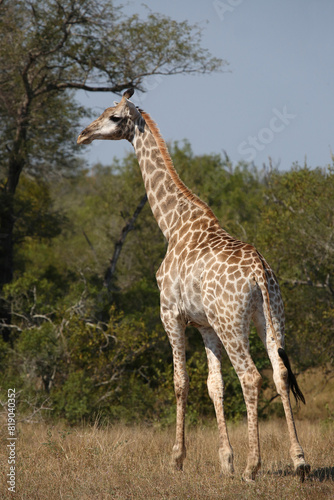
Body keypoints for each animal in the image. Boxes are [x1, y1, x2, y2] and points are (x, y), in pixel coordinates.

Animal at [77, 89, 310, 480]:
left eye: (113, 117)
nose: (83, 135)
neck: (172, 225)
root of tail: (259, 272)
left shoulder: (170, 314)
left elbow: (180, 382)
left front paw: (178, 458)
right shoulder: (205, 325)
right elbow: (214, 385)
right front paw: (225, 461)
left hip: (233, 322)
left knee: (251, 377)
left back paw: (253, 466)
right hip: (271, 316)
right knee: (279, 374)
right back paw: (300, 461)